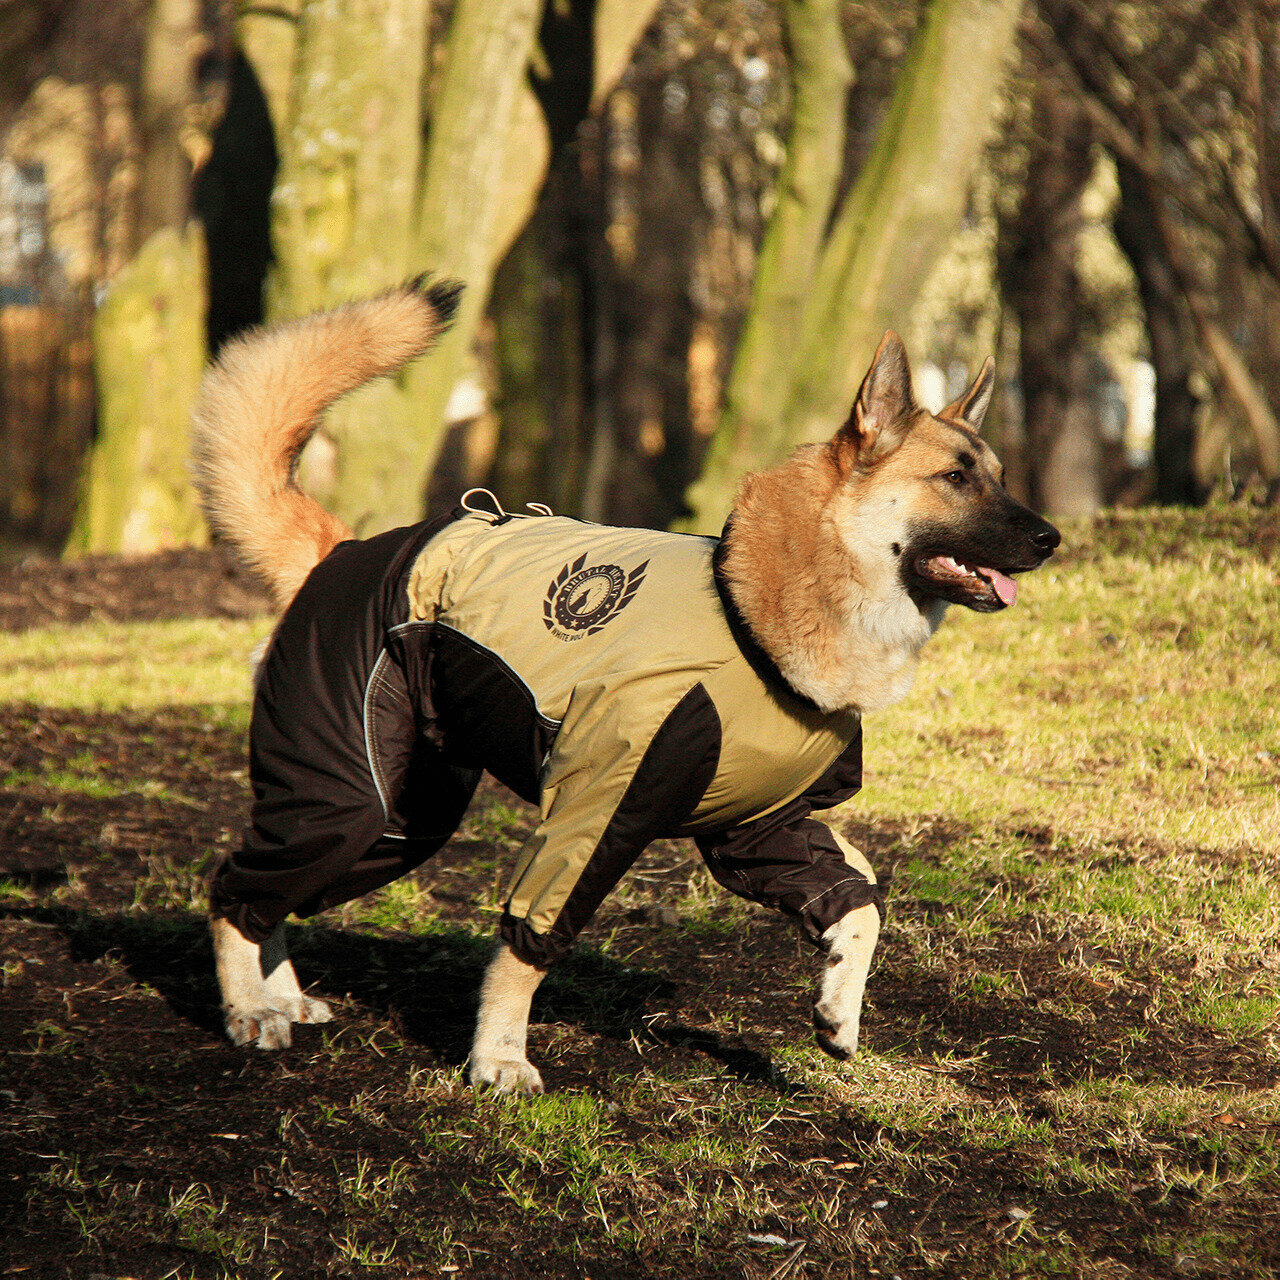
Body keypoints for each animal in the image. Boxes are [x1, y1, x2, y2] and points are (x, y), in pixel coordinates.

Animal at [192, 277, 1059, 1090]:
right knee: (235, 886)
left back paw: (280, 993)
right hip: (346, 797)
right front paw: (498, 1056)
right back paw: (248, 1007)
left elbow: (861, 896)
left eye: (998, 475)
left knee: (276, 889)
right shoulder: (595, 809)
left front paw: (838, 1008)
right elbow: (530, 946)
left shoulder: (766, 828)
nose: (1052, 538)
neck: (749, 616)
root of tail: (340, 551)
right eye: (955, 477)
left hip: (403, 818)